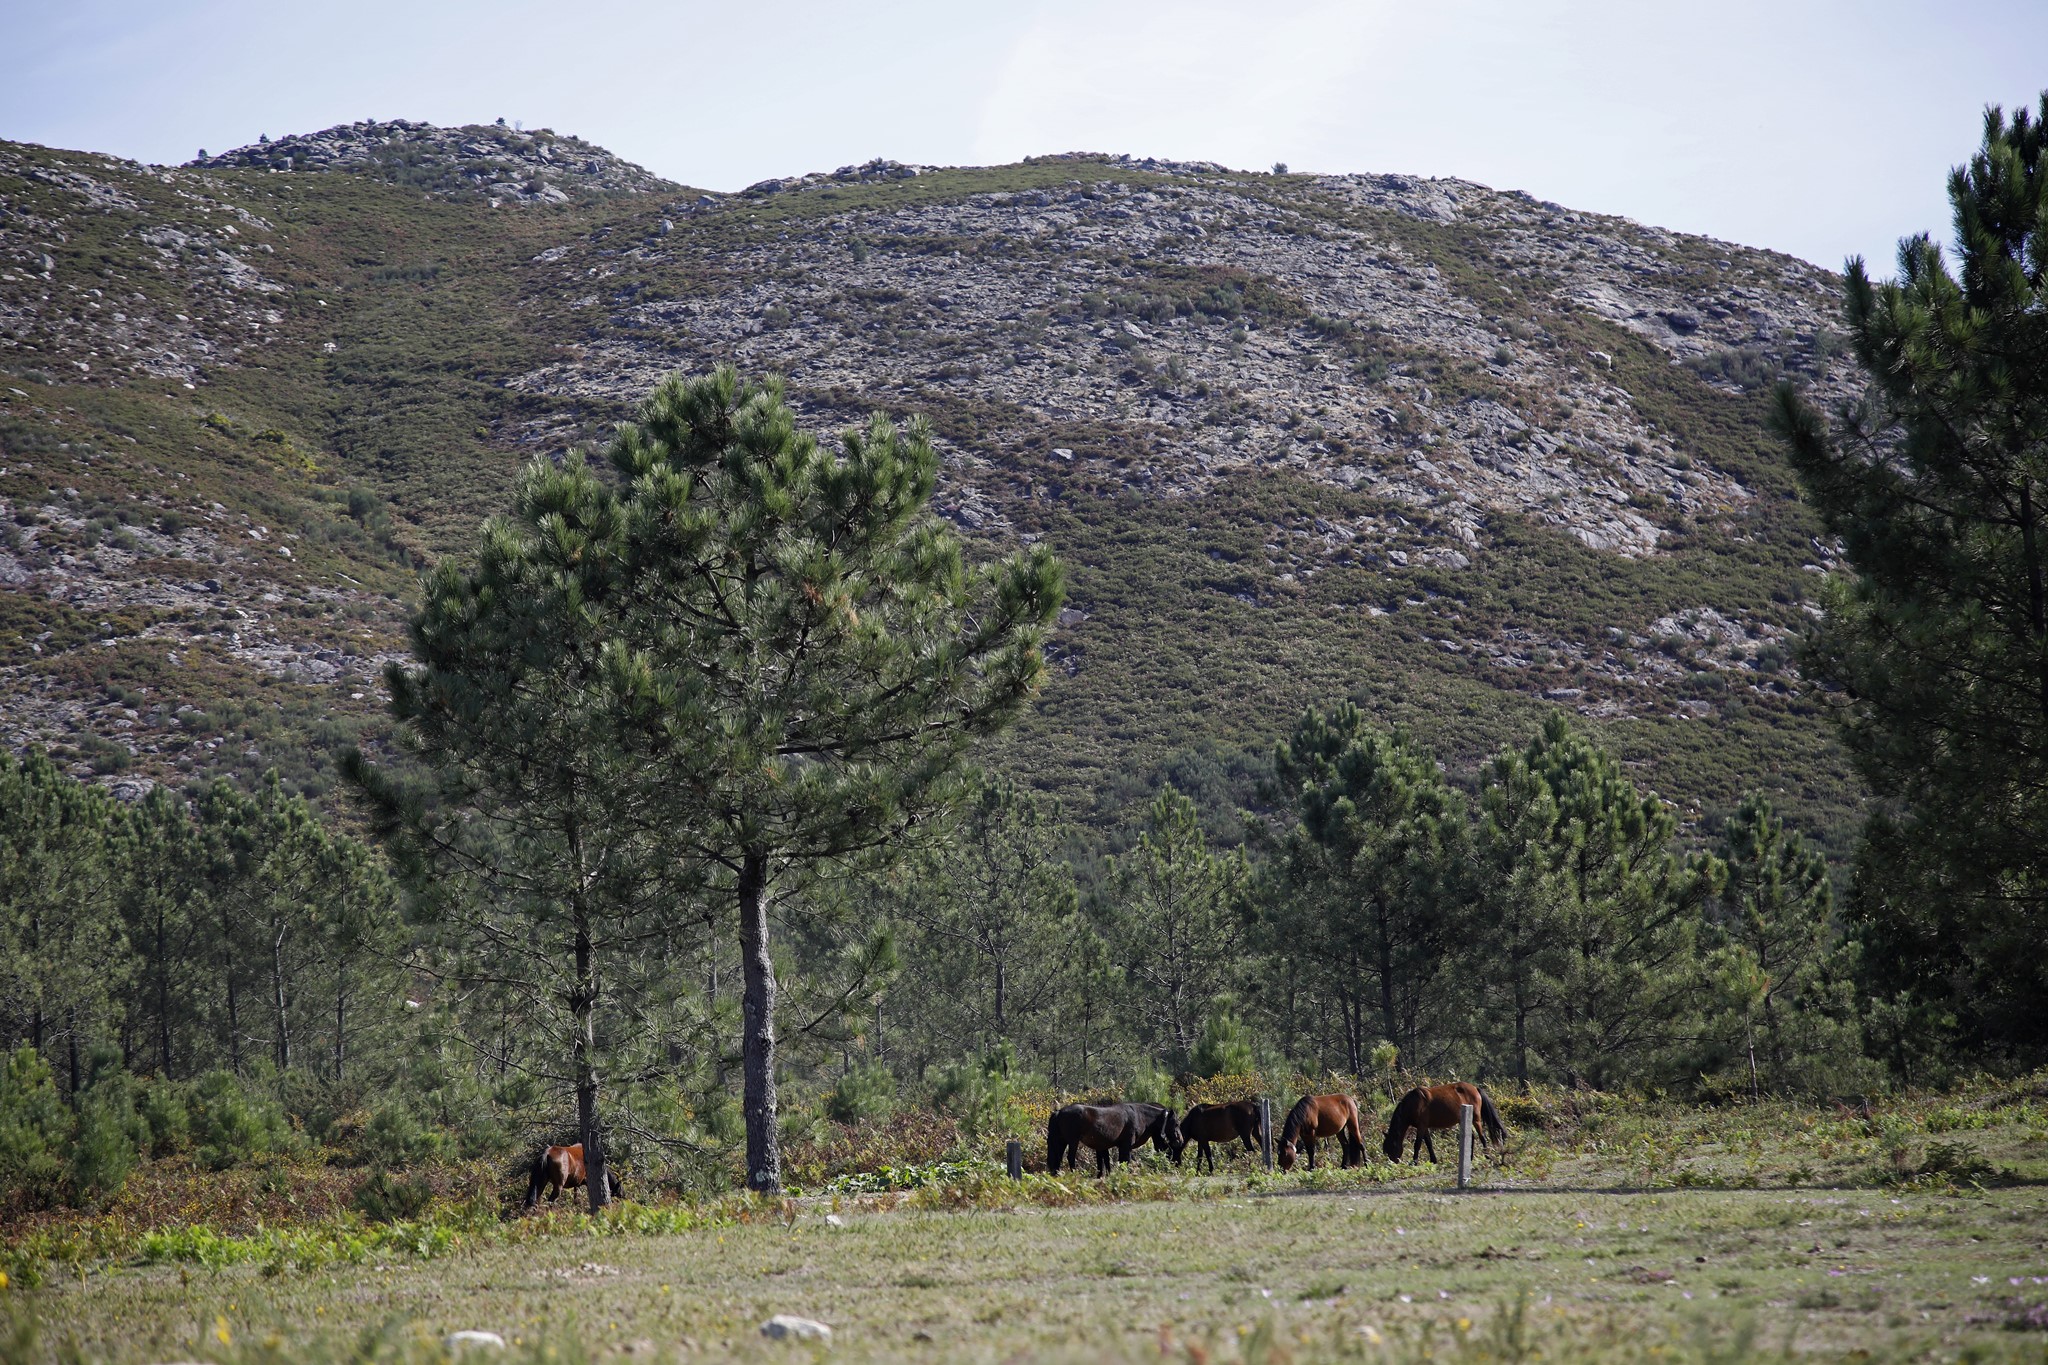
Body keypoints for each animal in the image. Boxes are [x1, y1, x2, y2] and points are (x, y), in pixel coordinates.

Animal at [1040, 1096, 1187, 1178]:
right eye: (1176, 1123)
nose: (1180, 1140)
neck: (1139, 1115)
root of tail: (1059, 1112)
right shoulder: (1126, 1146)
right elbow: (1125, 1160)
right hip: (1072, 1141)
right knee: (1070, 1157)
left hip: (1061, 1142)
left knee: (1058, 1158)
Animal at [1376, 1080, 1507, 1170]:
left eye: (1391, 1148)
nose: (1392, 1164)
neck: (1413, 1104)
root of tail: (1475, 1088)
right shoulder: (1424, 1127)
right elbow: (1428, 1143)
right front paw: (1433, 1160)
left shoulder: (1421, 1126)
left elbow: (1417, 1144)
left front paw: (1414, 1162)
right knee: (1472, 1137)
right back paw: (1469, 1158)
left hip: (1476, 1119)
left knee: (1482, 1137)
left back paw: (1487, 1157)